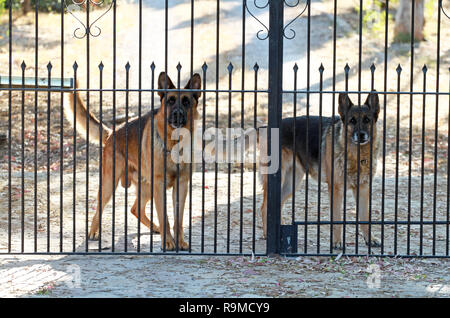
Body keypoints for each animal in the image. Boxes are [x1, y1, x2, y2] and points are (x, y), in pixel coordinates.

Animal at [64, 72, 201, 251]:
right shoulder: (159, 185)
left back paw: (154, 227)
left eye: (186, 102)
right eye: (170, 101)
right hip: (110, 184)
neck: (174, 143)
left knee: (136, 209)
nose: (177, 113)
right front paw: (168, 242)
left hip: (147, 188)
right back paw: (94, 232)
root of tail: (112, 133)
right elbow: (164, 217)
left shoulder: (182, 185)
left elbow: (178, 219)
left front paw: (179, 241)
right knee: (99, 208)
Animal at [258, 92, 382, 248]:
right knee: (264, 207)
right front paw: (336, 242)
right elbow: (337, 219)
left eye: (367, 120)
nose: (361, 135)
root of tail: (267, 127)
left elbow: (365, 218)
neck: (355, 155)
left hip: (291, 184)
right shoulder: (336, 190)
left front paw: (370, 239)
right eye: (352, 121)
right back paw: (267, 234)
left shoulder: (363, 189)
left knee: (277, 205)